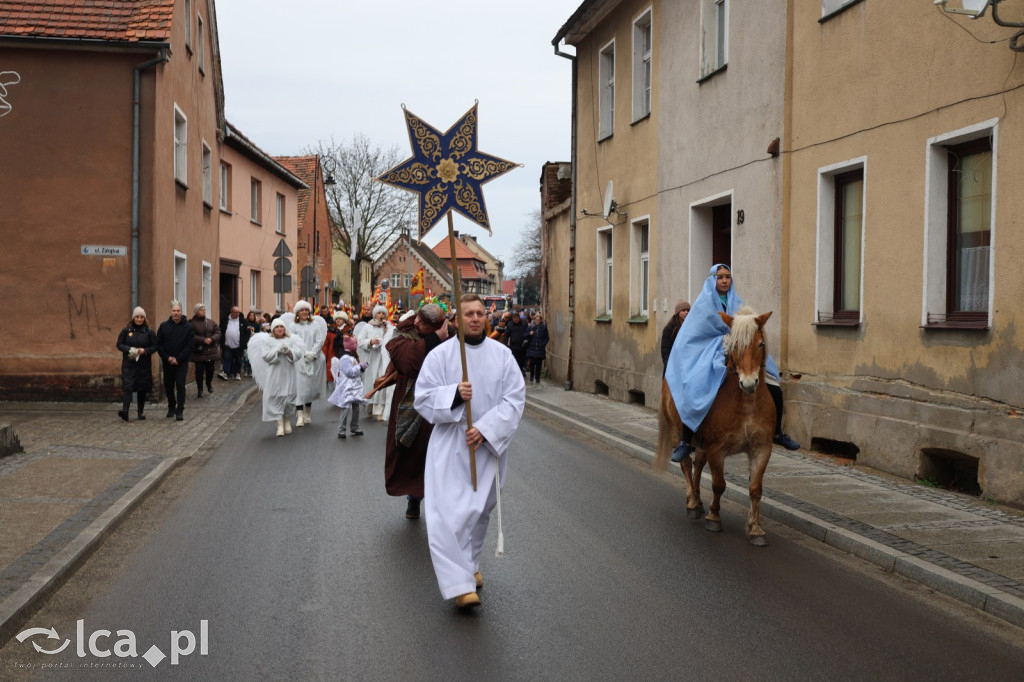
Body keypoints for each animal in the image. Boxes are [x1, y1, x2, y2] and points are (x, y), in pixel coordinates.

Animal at [655, 305, 774, 544]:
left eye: (760, 344)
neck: (746, 404)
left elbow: (755, 488)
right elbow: (719, 485)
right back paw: (693, 503)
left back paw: (698, 501)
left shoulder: (761, 448)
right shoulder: (717, 450)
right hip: (677, 433)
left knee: (698, 465)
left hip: (702, 443)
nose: (749, 383)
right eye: (734, 345)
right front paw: (714, 517)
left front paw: (756, 529)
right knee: (686, 464)